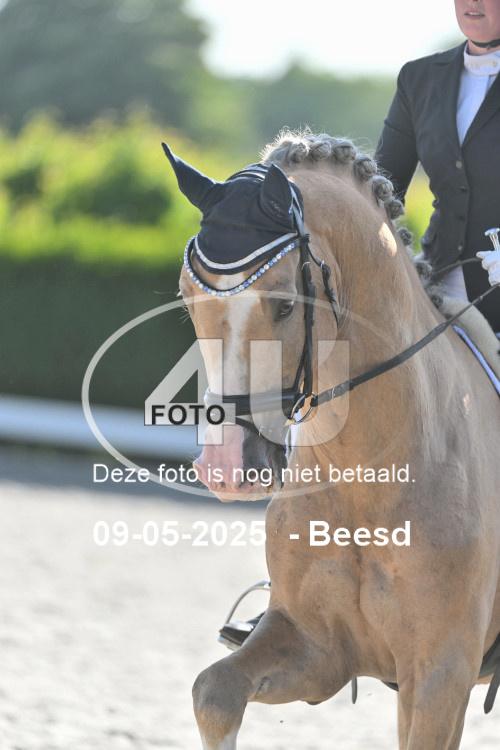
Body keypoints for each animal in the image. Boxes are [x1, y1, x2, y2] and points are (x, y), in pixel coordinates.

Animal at [165, 131, 500, 749]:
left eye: (285, 304)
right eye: (186, 299)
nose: (226, 467)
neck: (367, 473)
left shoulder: (442, 672)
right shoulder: (317, 645)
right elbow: (213, 692)